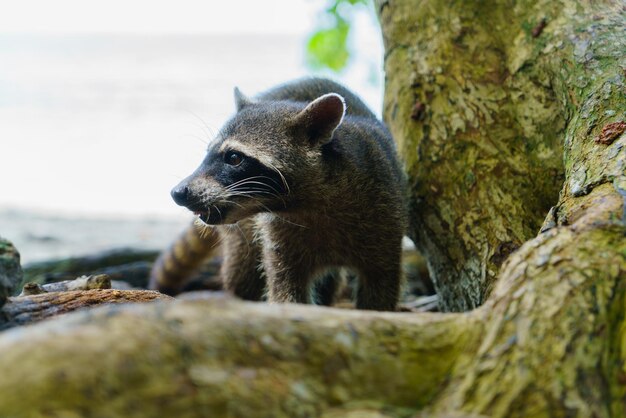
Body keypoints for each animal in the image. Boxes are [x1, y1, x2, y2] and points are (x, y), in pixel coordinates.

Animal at [150, 77, 404, 310]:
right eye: (207, 154)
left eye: (234, 158)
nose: (178, 192)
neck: (308, 204)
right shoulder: (279, 238)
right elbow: (285, 290)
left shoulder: (384, 220)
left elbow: (382, 288)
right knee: (243, 270)